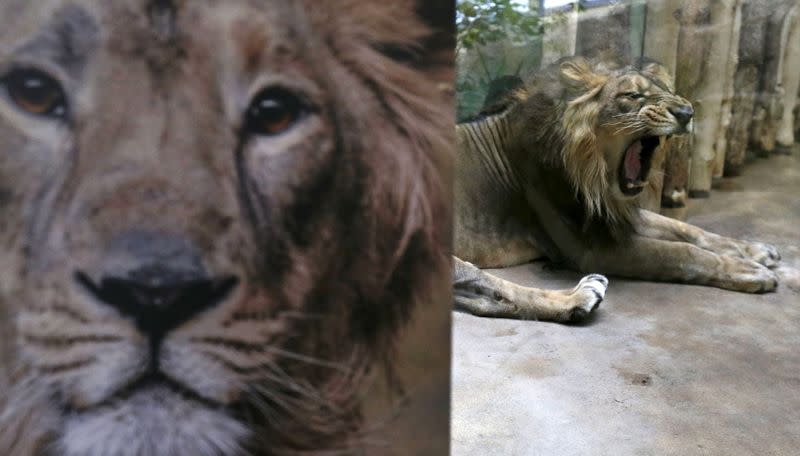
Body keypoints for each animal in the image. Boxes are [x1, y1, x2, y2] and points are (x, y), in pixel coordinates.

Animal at [456, 56, 780, 320]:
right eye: (633, 95)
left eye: (670, 92)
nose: (686, 112)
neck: (596, 176)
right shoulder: (591, 249)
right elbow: (682, 254)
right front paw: (748, 271)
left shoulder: (613, 214)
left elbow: (686, 230)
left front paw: (754, 250)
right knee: (489, 288)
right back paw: (579, 297)